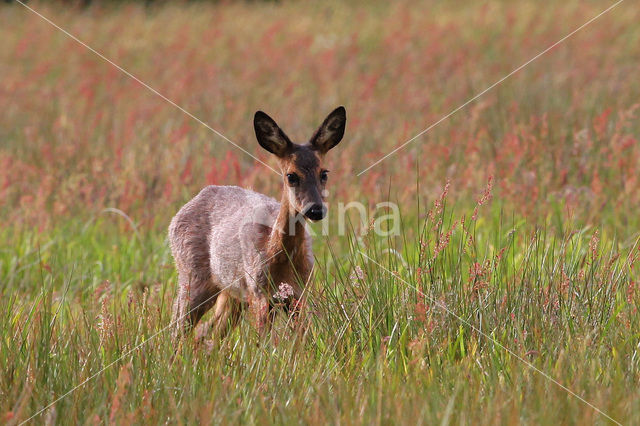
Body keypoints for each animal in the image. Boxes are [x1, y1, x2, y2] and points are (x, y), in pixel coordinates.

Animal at [165, 105, 344, 340]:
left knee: (207, 333)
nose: (315, 209)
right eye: (291, 176)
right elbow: (263, 343)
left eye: (324, 173)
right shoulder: (259, 292)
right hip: (192, 275)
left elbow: (301, 340)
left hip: (231, 294)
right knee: (178, 327)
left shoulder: (298, 293)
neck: (280, 258)